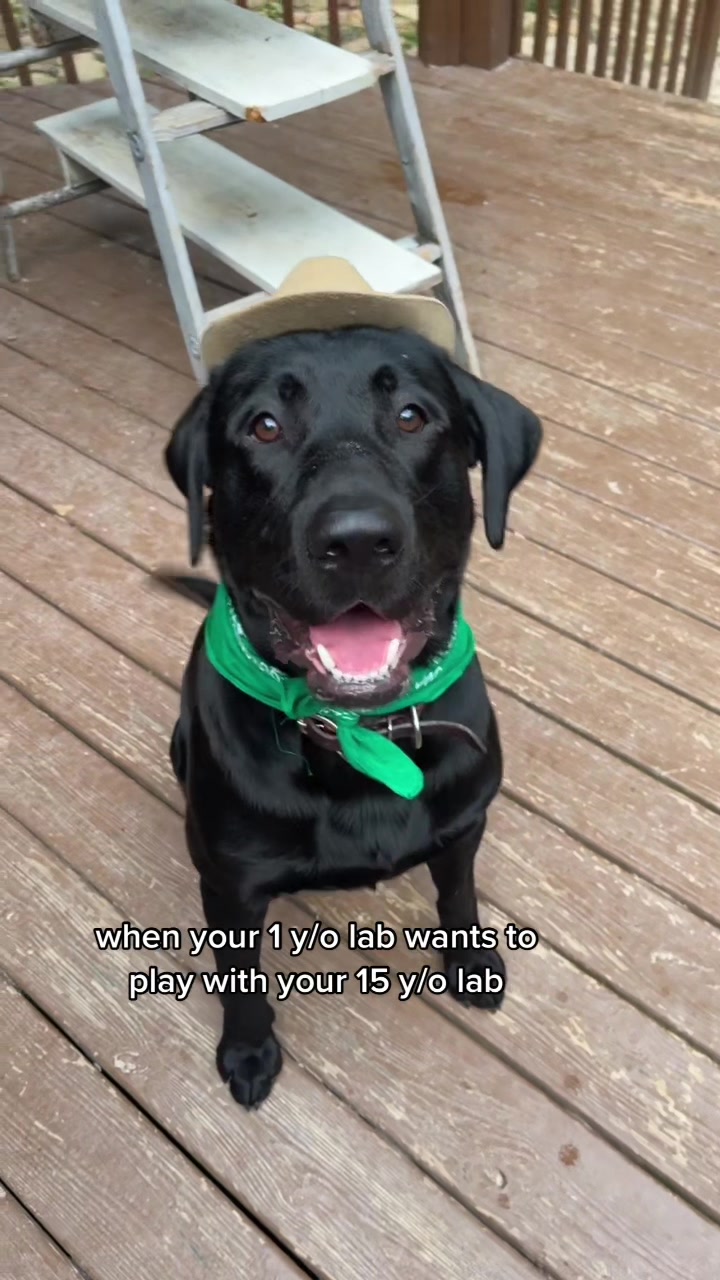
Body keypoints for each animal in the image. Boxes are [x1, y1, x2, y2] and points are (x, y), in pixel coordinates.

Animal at [164, 317, 541, 1108]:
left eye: (412, 416)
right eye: (264, 426)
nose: (359, 539)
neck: (358, 736)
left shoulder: (464, 825)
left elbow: (458, 894)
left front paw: (470, 962)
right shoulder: (231, 883)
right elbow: (240, 979)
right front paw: (248, 1049)